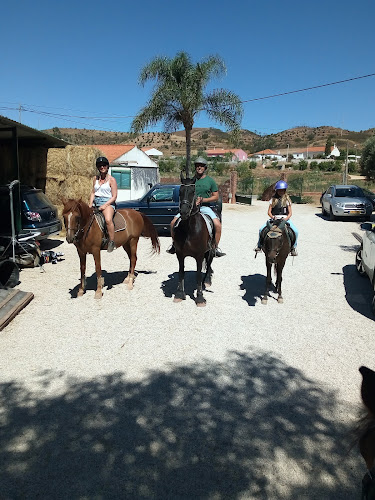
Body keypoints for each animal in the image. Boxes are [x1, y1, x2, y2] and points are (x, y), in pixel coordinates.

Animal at [173, 176, 214, 308]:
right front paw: (179, 294)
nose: (184, 212)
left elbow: (198, 274)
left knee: (209, 265)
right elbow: (181, 272)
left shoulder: (199, 255)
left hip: (210, 251)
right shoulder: (180, 254)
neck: (189, 229)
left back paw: (207, 281)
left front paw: (200, 297)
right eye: (180, 192)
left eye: (192, 192)